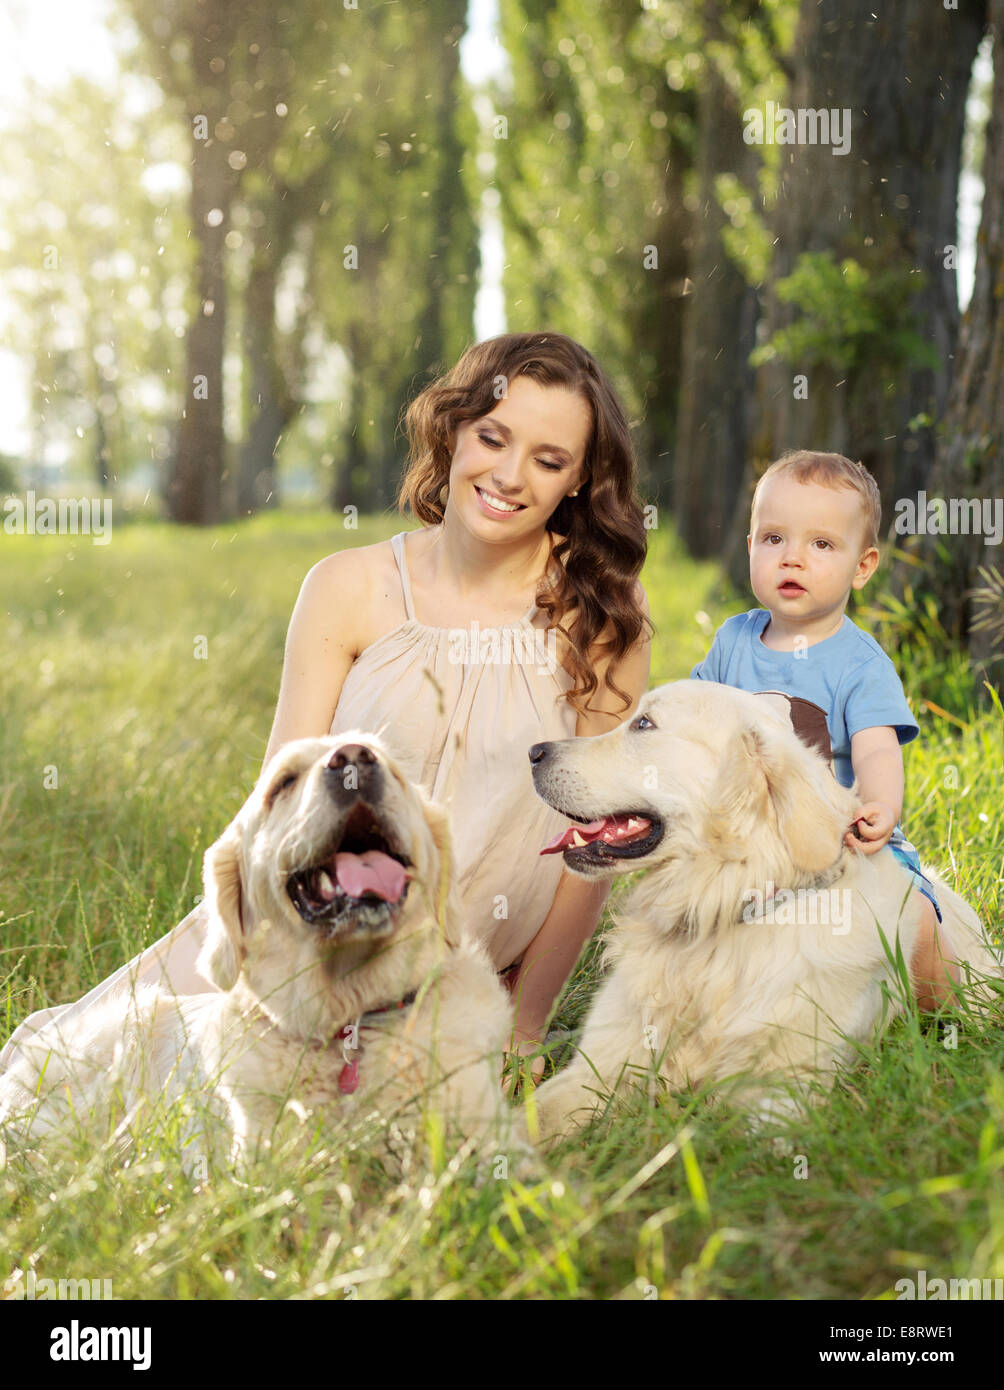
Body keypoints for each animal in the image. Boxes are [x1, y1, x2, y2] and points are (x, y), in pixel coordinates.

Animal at [528, 678, 995, 1134]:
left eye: (644, 724)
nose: (533, 752)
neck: (718, 911)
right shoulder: (598, 1067)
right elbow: (527, 1119)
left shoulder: (779, 1096)